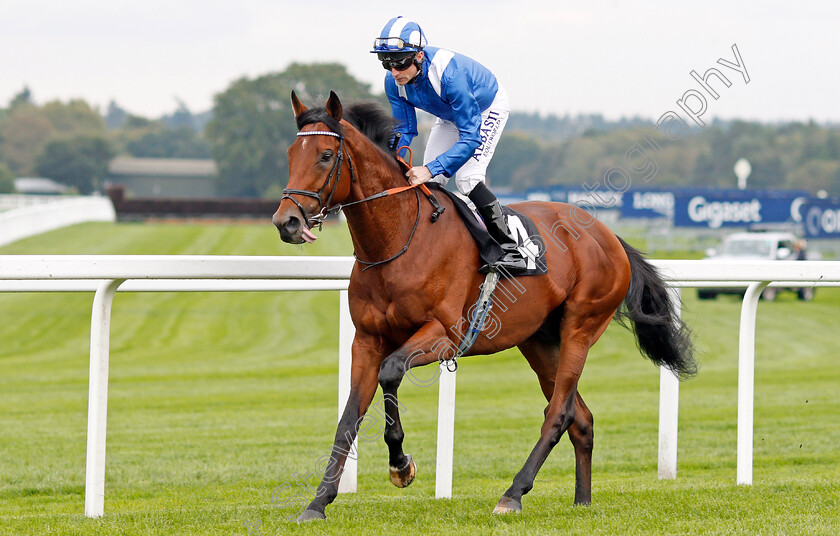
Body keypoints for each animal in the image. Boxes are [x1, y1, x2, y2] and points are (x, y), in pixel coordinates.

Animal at [270, 91, 696, 520]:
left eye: (326, 155)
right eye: (290, 153)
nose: (286, 222)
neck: (398, 242)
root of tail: (609, 235)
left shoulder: (443, 335)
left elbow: (391, 373)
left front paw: (401, 466)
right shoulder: (366, 340)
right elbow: (349, 416)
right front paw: (318, 502)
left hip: (581, 326)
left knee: (559, 414)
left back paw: (513, 494)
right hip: (540, 342)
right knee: (582, 419)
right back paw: (582, 500)